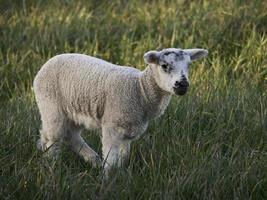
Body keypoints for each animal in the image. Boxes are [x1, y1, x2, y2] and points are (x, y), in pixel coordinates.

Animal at [33, 47, 208, 176]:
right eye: (165, 66)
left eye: (189, 65)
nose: (182, 84)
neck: (141, 89)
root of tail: (47, 63)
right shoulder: (113, 125)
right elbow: (111, 158)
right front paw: (107, 180)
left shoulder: (128, 130)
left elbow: (123, 157)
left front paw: (121, 175)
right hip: (51, 106)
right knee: (55, 138)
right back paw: (52, 167)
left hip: (73, 111)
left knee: (71, 136)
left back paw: (94, 161)